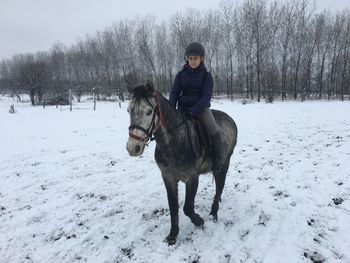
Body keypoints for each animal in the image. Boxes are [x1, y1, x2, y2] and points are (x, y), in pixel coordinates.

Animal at [126, 82, 238, 245]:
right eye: (129, 110)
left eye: (149, 112)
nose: (133, 148)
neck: (174, 141)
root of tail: (230, 119)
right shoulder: (168, 178)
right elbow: (173, 207)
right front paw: (173, 235)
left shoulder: (191, 178)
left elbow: (187, 208)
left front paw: (199, 221)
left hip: (223, 165)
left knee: (219, 188)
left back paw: (213, 213)